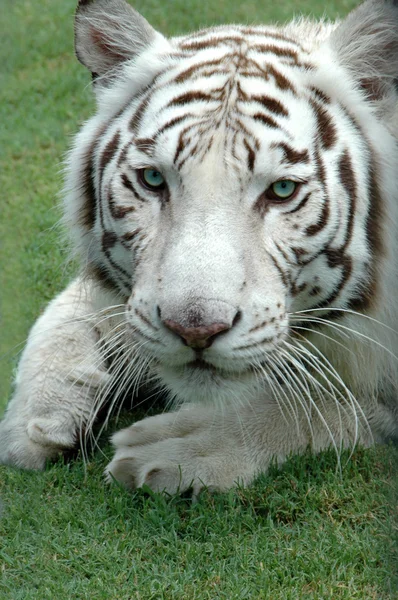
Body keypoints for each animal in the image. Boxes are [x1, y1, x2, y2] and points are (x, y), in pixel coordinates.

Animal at [0, 0, 398, 496]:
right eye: (153, 179)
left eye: (282, 189)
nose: (194, 330)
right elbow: (67, 311)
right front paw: (35, 419)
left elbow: (311, 398)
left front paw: (177, 446)